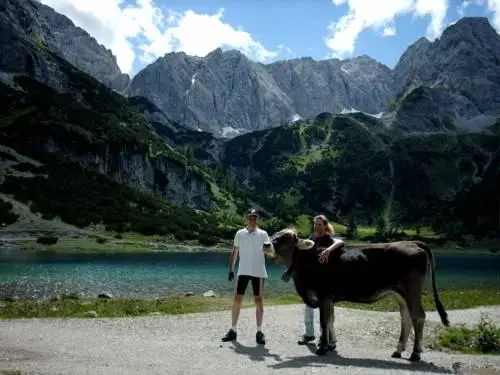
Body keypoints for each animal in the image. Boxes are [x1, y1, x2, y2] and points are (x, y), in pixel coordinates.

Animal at [262, 228, 450, 362]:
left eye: (287, 237)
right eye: (274, 234)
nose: (266, 244)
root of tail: (413, 243)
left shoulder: (323, 295)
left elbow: (324, 320)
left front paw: (323, 348)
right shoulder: (329, 298)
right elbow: (331, 319)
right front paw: (332, 344)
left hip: (412, 291)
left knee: (418, 316)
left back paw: (415, 354)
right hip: (400, 294)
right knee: (406, 317)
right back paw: (398, 350)